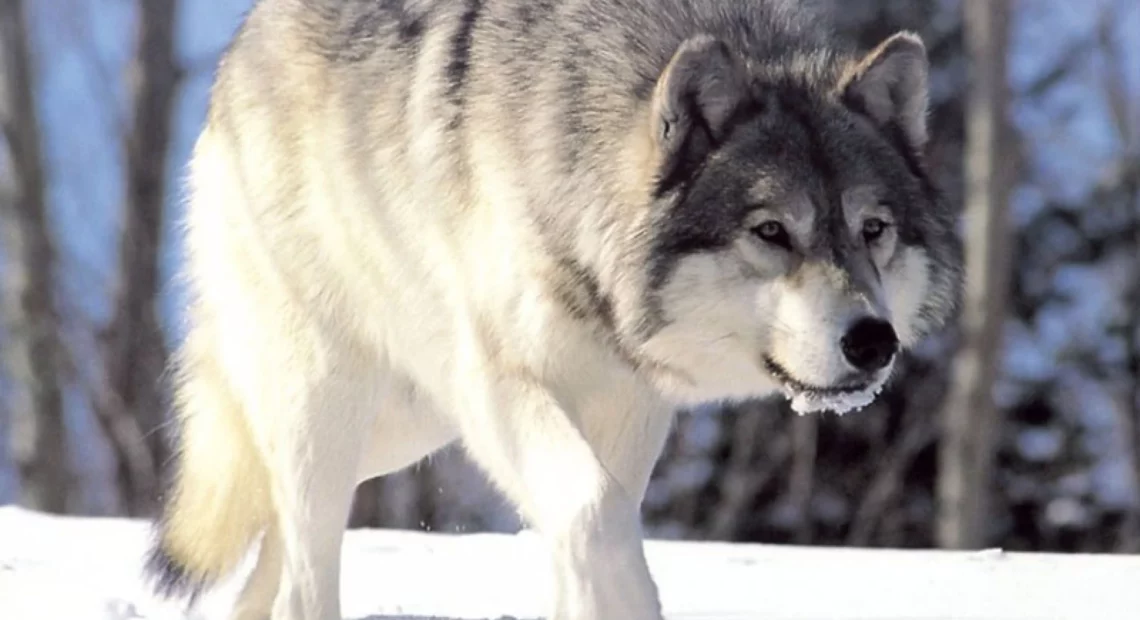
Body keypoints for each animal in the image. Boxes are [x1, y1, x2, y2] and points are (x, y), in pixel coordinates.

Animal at [142, 0, 962, 615]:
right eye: (771, 232)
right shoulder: (500, 384)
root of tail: (241, 44)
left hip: (405, 426)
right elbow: (597, 515)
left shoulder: (629, 403)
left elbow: (594, 525)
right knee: (303, 571)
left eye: (872, 230)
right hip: (334, 403)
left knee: (269, 550)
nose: (874, 343)